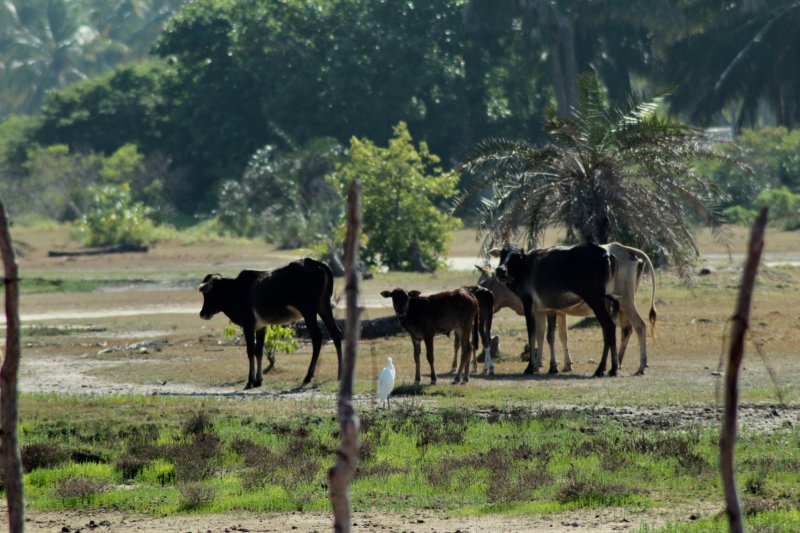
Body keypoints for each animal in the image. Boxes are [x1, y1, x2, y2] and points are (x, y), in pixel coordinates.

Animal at [198, 257, 343, 388]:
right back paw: (339, 374)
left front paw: (250, 381)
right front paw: (258, 380)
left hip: (309, 311)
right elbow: (259, 351)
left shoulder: (248, 326)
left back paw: (308, 376)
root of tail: (316, 263)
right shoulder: (261, 327)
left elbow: (250, 351)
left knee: (317, 338)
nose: (202, 313)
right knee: (336, 334)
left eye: (209, 293)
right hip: (324, 307)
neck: (235, 289)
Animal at [480, 242, 657, 375]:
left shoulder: (531, 307)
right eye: (502, 253)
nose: (500, 271)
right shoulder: (548, 310)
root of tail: (609, 253)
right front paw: (551, 366)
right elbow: (548, 336)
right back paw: (613, 367)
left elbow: (535, 335)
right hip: (614, 304)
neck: (526, 266)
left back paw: (620, 367)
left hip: (607, 301)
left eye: (516, 256)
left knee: (629, 326)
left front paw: (532, 367)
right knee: (618, 329)